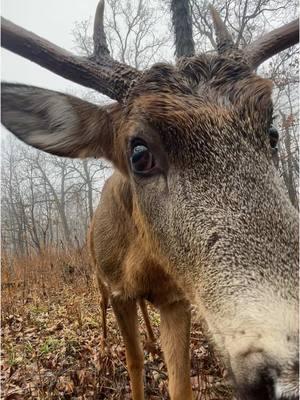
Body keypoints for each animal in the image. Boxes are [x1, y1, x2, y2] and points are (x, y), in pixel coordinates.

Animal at [1, 0, 298, 398]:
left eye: (273, 134)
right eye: (139, 153)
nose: (288, 372)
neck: (144, 260)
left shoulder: (176, 298)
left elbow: (180, 381)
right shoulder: (118, 291)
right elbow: (134, 363)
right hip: (97, 275)